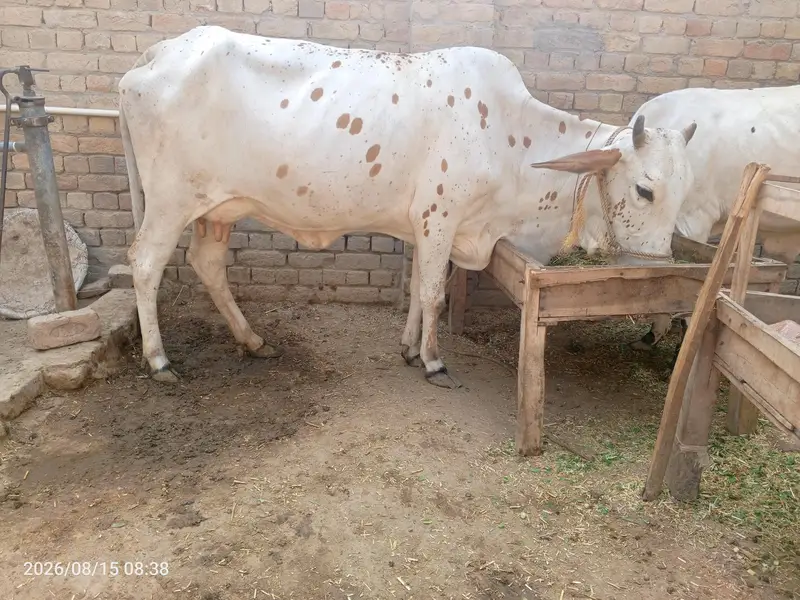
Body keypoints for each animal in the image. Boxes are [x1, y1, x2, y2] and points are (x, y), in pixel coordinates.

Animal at [118, 25, 698, 388]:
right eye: (645, 190)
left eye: (683, 192)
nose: (658, 272)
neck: (512, 141)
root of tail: (154, 55)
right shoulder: (440, 218)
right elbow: (435, 292)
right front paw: (435, 362)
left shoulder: (427, 225)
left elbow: (420, 287)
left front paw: (410, 348)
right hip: (169, 201)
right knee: (145, 264)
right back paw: (159, 361)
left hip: (216, 209)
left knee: (208, 265)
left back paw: (254, 340)